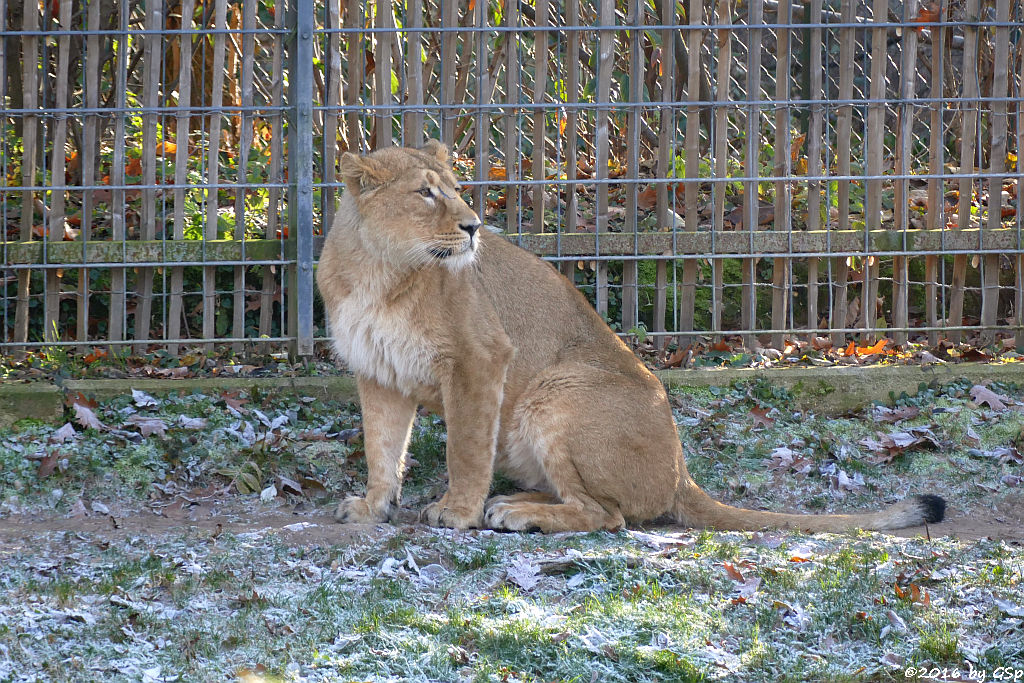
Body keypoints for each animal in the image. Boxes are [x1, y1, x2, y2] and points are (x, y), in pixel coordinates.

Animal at [315, 140, 946, 532]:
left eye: (453, 188)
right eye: (425, 192)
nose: (473, 226)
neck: (381, 271)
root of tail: (681, 474)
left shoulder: (479, 359)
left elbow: (464, 449)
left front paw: (457, 511)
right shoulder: (377, 371)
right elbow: (381, 450)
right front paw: (372, 507)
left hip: (558, 392)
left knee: (608, 515)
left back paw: (516, 512)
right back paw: (515, 500)